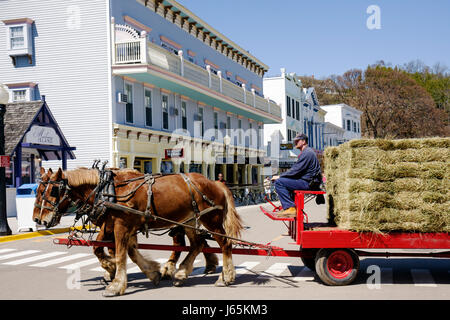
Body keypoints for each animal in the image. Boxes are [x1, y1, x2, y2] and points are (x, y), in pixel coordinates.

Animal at [37, 168, 244, 298]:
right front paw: (152, 273)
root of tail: (216, 182)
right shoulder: (121, 226)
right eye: (38, 190)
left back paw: (225, 277)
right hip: (190, 220)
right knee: (197, 244)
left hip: (211, 220)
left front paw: (115, 284)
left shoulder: (121, 225)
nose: (40, 220)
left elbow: (121, 254)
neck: (108, 191)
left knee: (225, 244)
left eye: (53, 190)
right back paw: (181, 273)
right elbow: (127, 252)